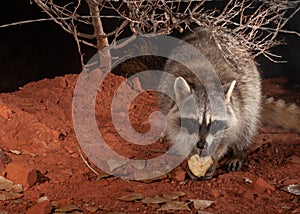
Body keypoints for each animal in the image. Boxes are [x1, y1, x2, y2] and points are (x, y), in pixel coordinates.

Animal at [158, 27, 298, 180]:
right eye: (193, 121)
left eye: (214, 123)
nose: (201, 145)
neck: (203, 84)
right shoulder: (168, 104)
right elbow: (177, 132)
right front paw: (189, 154)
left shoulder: (235, 111)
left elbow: (228, 136)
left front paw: (216, 156)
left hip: (252, 90)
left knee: (247, 122)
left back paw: (239, 150)